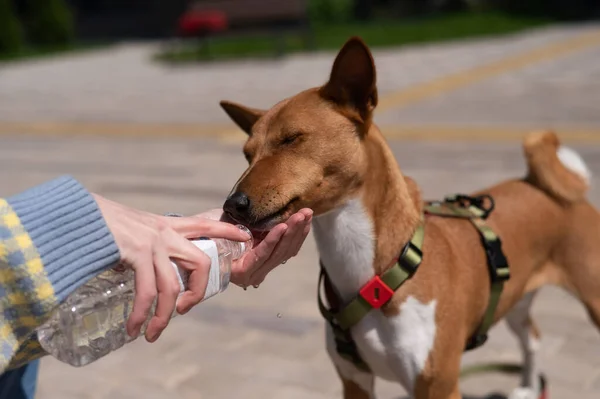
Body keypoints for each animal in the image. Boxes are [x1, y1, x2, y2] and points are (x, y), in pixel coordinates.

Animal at [220, 37, 600, 399]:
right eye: (247, 154)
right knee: (532, 337)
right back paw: (527, 387)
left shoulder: (438, 387)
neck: (371, 273)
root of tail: (537, 183)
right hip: (516, 298)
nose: (232, 204)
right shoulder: (354, 382)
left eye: (291, 139)